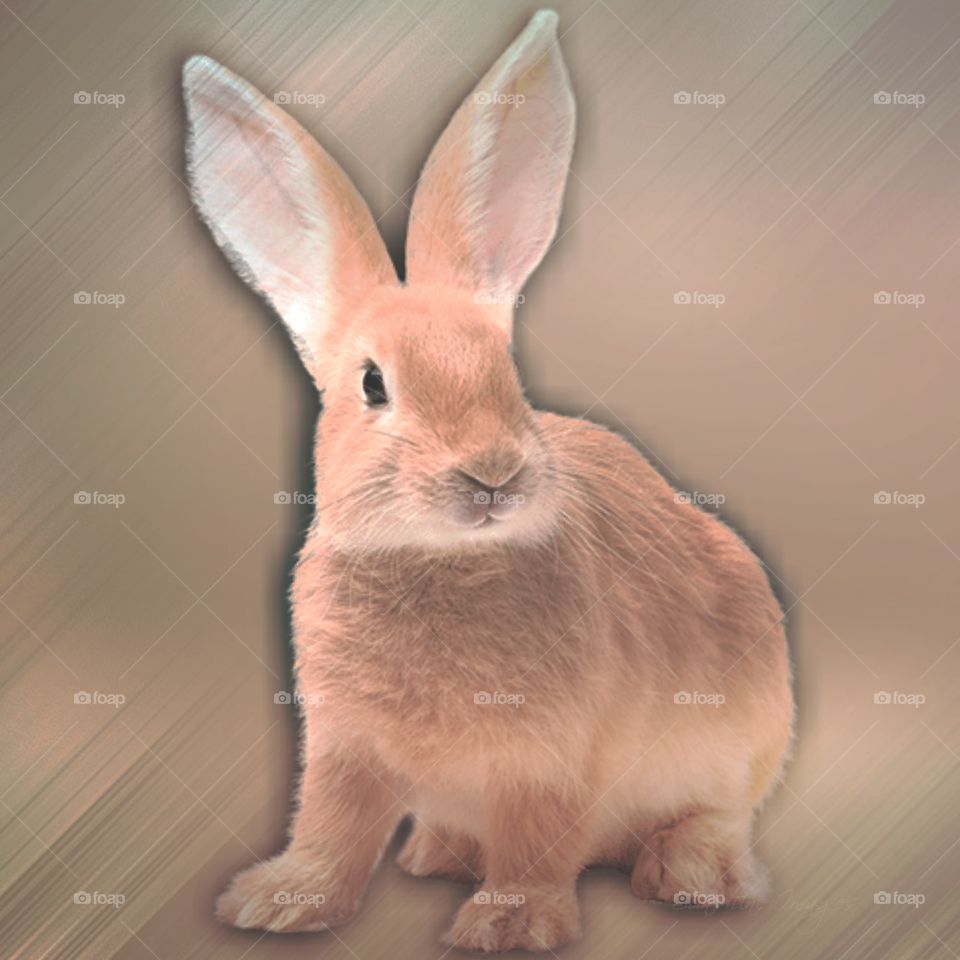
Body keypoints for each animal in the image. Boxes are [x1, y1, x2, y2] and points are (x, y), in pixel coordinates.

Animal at [182, 8, 794, 954]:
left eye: (506, 374)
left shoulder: (553, 754)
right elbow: (332, 825)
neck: (434, 558)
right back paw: (441, 853)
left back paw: (694, 877)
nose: (493, 472)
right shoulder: (344, 745)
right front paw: (279, 901)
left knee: (712, 816)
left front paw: (509, 926)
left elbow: (538, 838)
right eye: (372, 384)